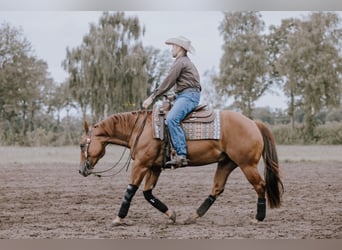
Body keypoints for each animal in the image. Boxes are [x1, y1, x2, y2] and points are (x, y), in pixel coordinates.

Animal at [78, 108, 284, 226]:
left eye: (81, 145)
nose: (81, 170)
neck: (141, 129)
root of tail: (253, 123)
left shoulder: (141, 165)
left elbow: (130, 190)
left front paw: (118, 218)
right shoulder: (154, 168)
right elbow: (147, 193)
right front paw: (171, 215)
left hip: (247, 165)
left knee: (260, 186)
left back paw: (258, 218)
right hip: (226, 163)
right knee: (217, 189)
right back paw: (192, 216)